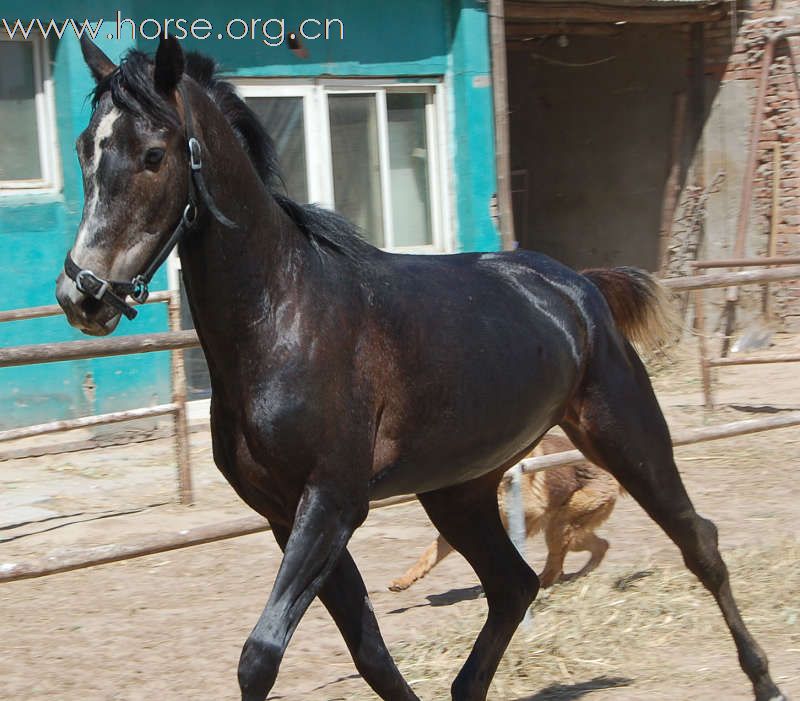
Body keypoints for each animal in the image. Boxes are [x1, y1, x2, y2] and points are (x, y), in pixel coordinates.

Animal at [56, 37, 788, 700]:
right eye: (85, 148)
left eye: (154, 155)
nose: (83, 295)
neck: (286, 318)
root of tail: (576, 284)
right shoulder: (283, 512)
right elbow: (370, 651)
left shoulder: (332, 501)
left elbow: (261, 655)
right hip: (459, 489)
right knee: (514, 585)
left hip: (627, 434)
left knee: (699, 542)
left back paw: (765, 680)